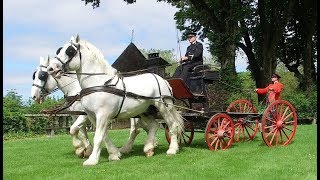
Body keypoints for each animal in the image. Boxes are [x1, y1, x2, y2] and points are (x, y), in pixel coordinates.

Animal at [46, 34, 184, 166]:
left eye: (70, 51)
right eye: (59, 50)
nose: (51, 68)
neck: (99, 83)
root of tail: (162, 79)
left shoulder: (102, 115)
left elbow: (98, 137)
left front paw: (91, 160)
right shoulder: (92, 116)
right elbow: (104, 136)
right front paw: (114, 154)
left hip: (164, 107)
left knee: (173, 126)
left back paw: (172, 149)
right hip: (145, 111)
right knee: (154, 126)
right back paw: (148, 148)